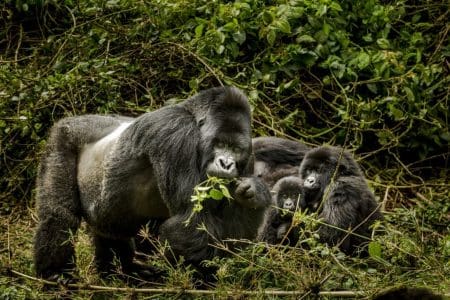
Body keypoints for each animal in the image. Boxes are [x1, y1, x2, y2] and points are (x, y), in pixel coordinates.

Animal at [34, 86, 270, 278]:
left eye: (236, 149)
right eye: (219, 143)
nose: (226, 163)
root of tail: (73, 120)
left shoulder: (248, 157)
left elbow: (236, 233)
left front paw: (254, 194)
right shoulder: (175, 128)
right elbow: (189, 220)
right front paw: (197, 281)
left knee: (110, 231)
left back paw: (119, 274)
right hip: (62, 138)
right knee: (58, 216)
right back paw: (56, 275)